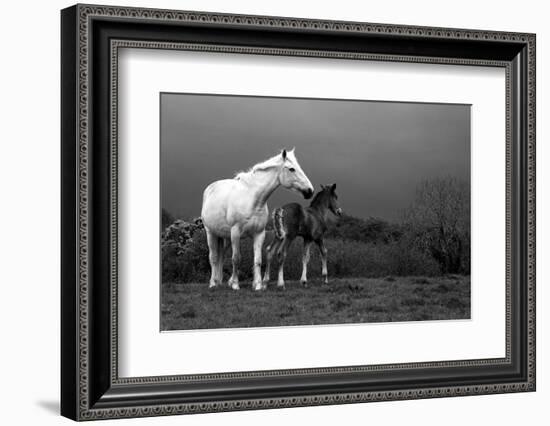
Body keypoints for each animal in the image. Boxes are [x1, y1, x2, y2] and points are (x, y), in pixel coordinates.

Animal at [202, 148, 314, 292]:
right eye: (291, 169)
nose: (310, 191)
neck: (252, 200)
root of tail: (210, 188)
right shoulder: (235, 233)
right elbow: (236, 258)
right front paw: (236, 285)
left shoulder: (259, 233)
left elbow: (258, 260)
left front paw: (258, 285)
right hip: (210, 233)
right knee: (214, 258)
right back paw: (213, 283)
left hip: (224, 237)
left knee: (221, 257)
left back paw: (220, 281)